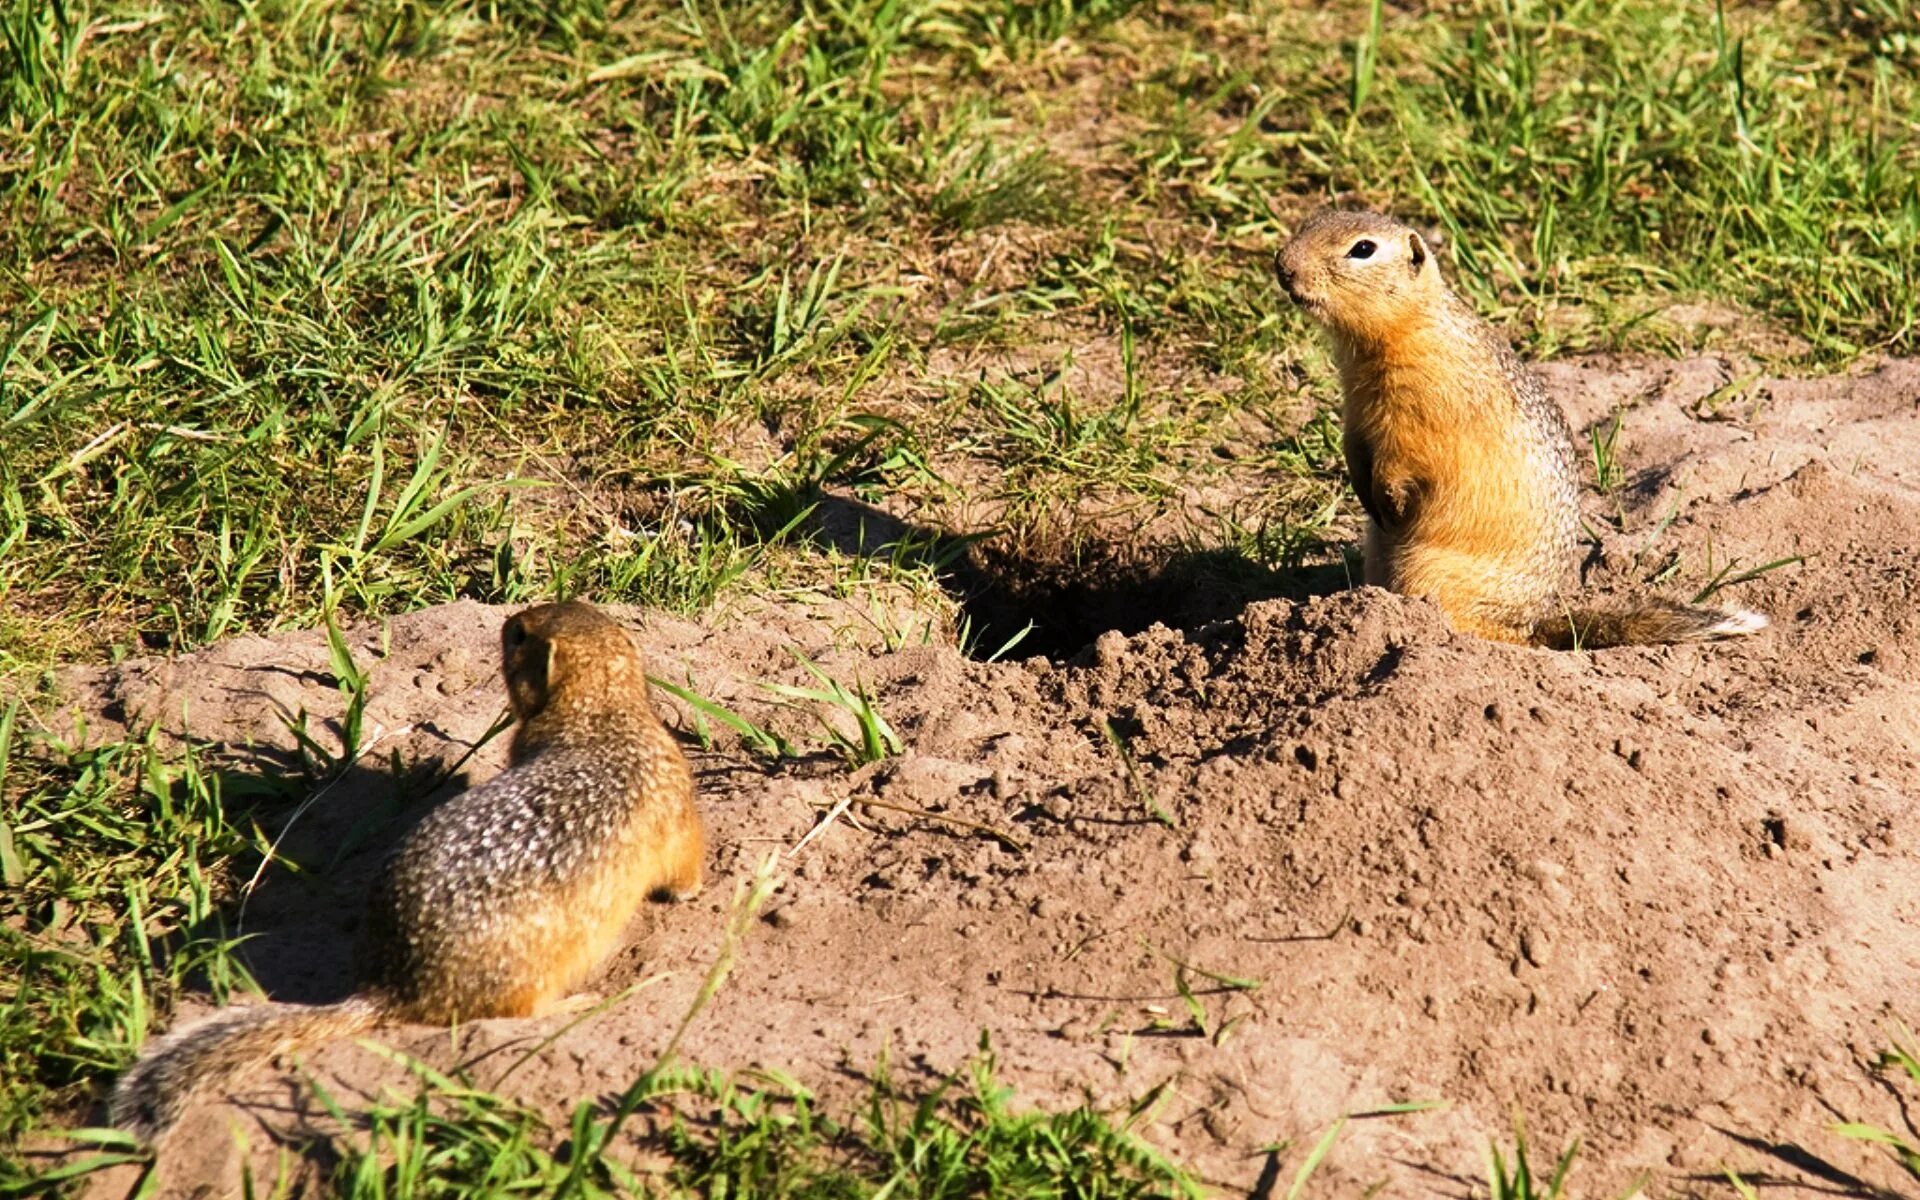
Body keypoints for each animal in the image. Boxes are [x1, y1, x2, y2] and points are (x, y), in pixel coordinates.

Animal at [110, 599, 706, 1144]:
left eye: (520, 634)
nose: (507, 618)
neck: (600, 714)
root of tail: (387, 988)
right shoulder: (678, 810)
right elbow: (687, 864)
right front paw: (691, 892)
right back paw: (580, 1002)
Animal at [1274, 210, 1766, 648]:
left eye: (1363, 249)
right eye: (1313, 219)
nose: (1282, 265)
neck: (1397, 335)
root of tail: (1527, 626)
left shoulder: (1423, 411)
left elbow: (1407, 457)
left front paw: (1389, 499)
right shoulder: (1355, 407)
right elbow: (1354, 447)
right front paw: (1365, 491)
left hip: (1429, 567)